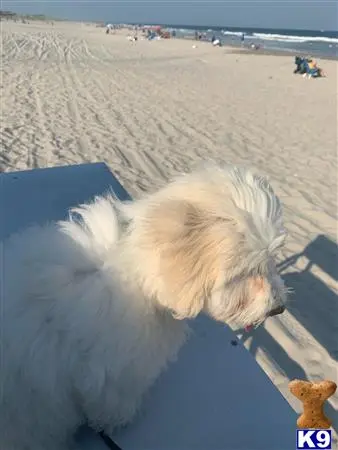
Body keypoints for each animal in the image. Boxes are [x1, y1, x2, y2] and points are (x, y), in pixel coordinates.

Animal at [1, 163, 288, 448]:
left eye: (272, 260)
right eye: (247, 272)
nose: (279, 308)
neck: (135, 273)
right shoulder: (111, 371)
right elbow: (111, 399)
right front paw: (119, 420)